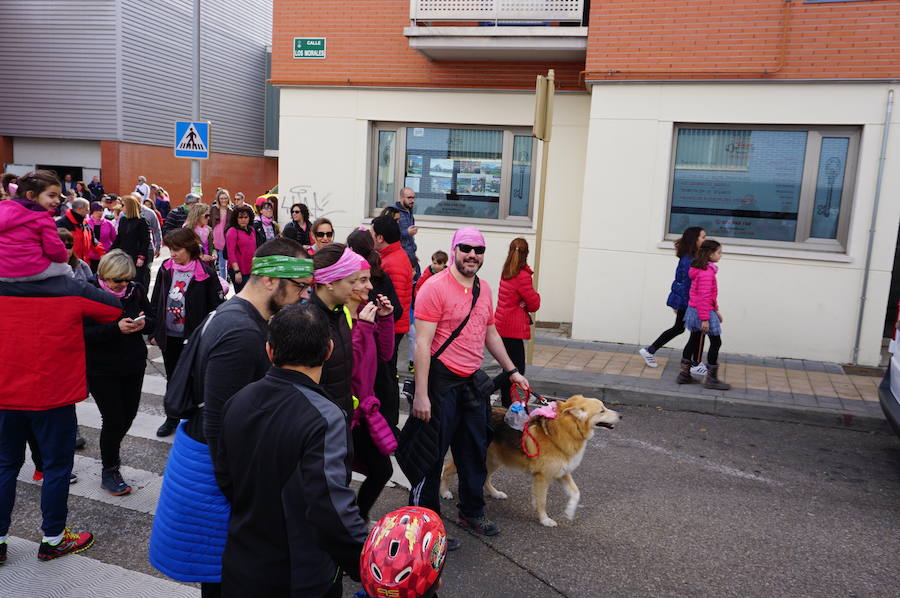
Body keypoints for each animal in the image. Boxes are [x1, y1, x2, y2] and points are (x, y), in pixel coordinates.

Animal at [442, 398, 624, 528]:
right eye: (602, 410)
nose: (621, 416)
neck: (566, 430)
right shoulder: (542, 477)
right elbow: (542, 501)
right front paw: (545, 520)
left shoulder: (562, 472)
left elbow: (576, 492)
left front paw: (569, 512)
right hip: (472, 458)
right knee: (445, 470)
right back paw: (444, 492)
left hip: (493, 460)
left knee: (486, 478)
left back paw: (495, 493)